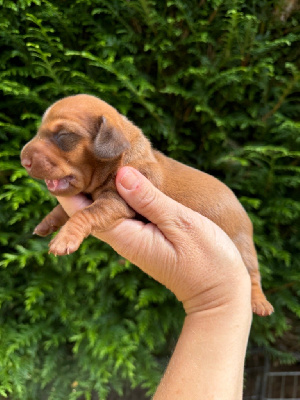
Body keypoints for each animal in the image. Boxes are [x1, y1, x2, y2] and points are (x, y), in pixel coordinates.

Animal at [20, 94, 274, 316]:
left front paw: (64, 238)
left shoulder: (118, 200)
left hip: (243, 245)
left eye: (63, 135)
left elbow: (85, 213)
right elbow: (64, 209)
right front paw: (48, 222)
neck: (120, 157)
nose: (23, 160)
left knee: (253, 275)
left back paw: (260, 302)